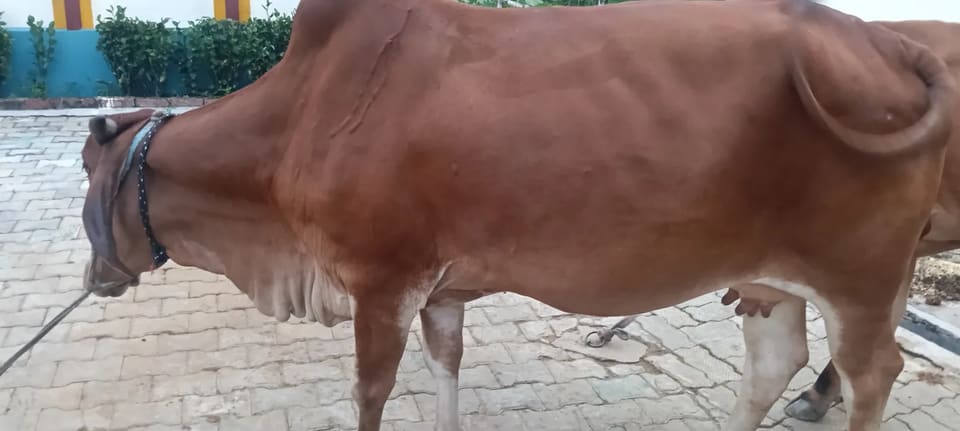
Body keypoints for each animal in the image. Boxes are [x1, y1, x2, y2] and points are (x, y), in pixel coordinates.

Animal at [78, 0, 954, 430]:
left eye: (86, 172)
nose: (95, 275)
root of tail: (888, 41)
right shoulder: (441, 290)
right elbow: (445, 370)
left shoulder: (383, 282)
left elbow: (371, 392)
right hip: (774, 278)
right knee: (774, 362)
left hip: (863, 278)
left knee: (873, 372)